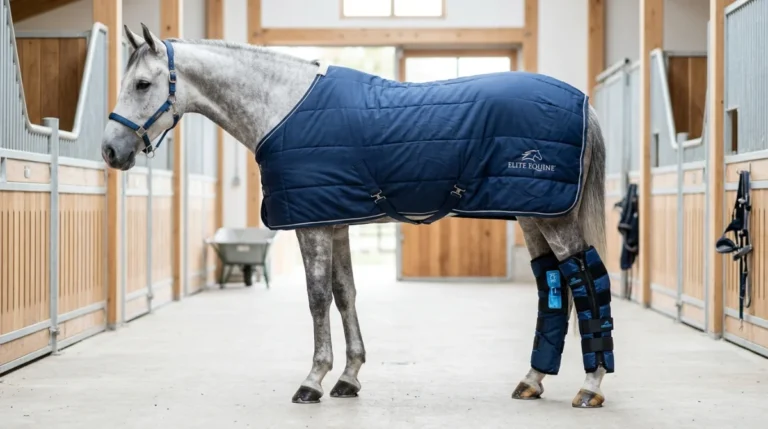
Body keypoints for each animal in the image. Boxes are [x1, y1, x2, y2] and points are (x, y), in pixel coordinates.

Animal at [101, 24, 613, 408]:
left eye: (142, 84)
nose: (110, 151)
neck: (284, 107)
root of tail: (584, 103)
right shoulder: (337, 222)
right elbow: (345, 294)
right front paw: (349, 378)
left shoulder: (312, 227)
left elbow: (317, 299)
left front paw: (313, 380)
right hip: (534, 215)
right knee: (553, 284)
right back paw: (532, 380)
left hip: (555, 219)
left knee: (586, 283)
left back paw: (590, 387)